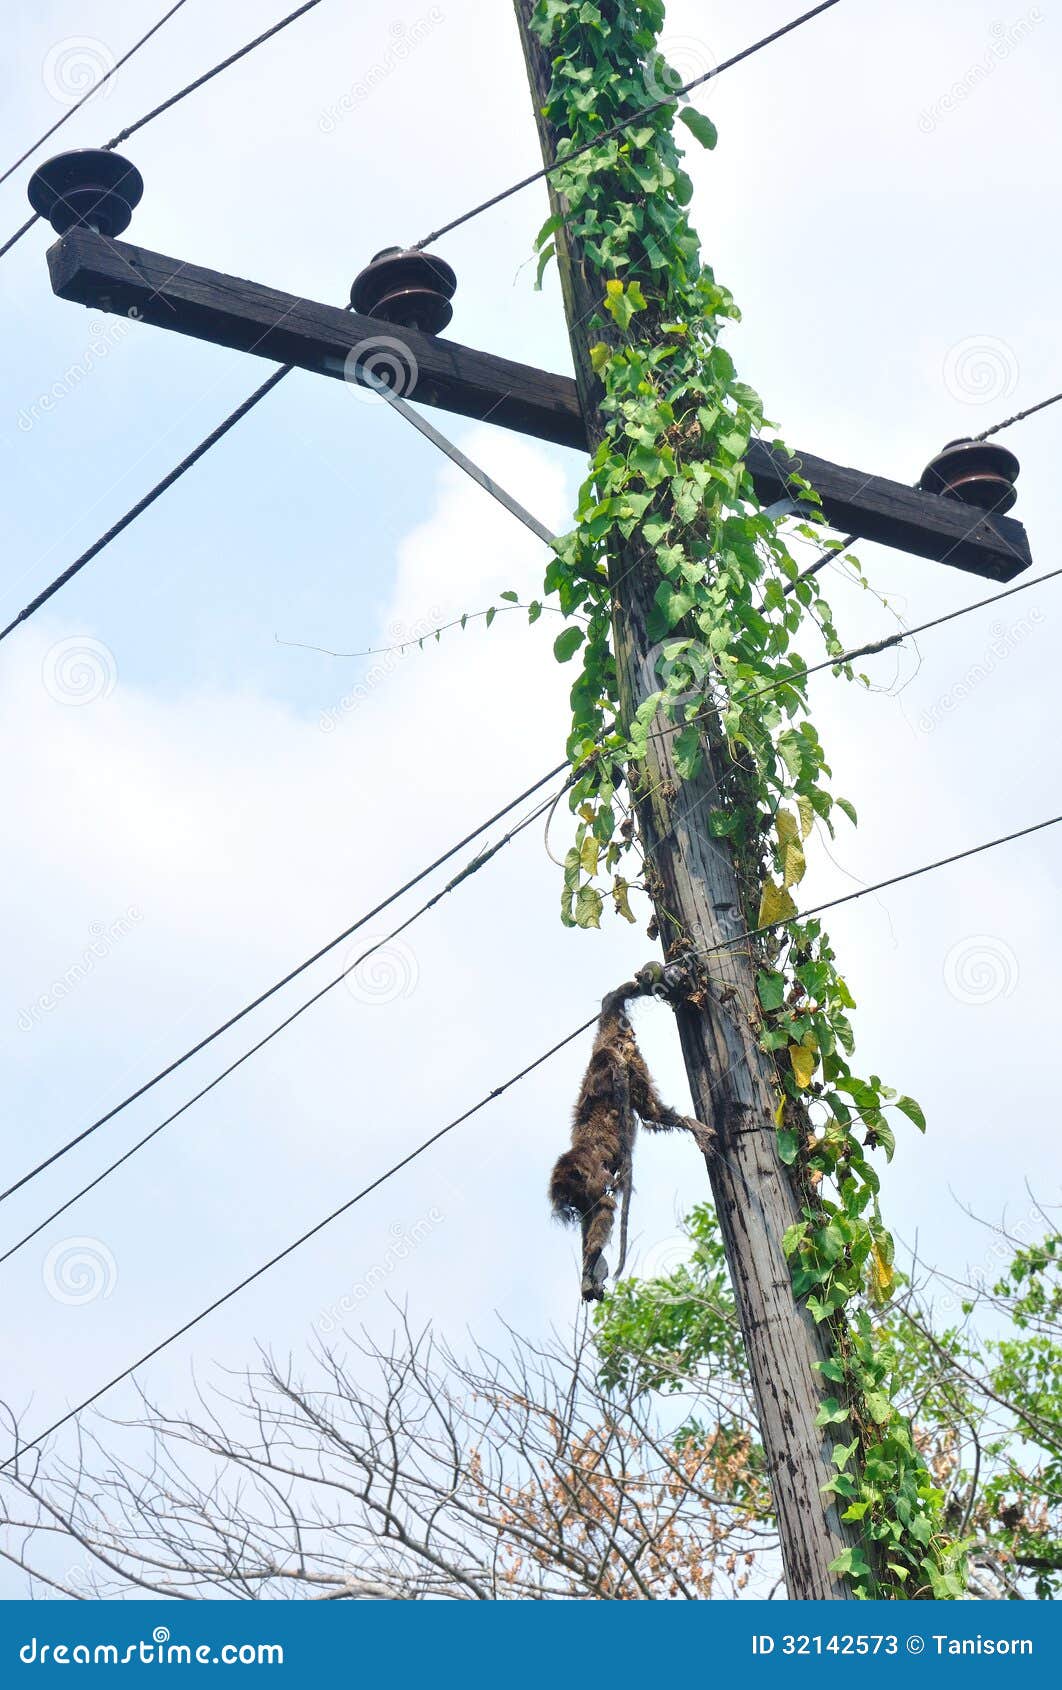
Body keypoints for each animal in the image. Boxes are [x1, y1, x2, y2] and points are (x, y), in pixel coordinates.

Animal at [549, 964, 714, 1302]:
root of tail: (607, 1046)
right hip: (620, 1041)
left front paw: (591, 1265)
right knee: (612, 1001)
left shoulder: (592, 1178)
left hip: (625, 1058)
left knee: (643, 1104)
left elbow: (604, 1207)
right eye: (569, 1201)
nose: (570, 1206)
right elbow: (593, 1215)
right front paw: (589, 1274)